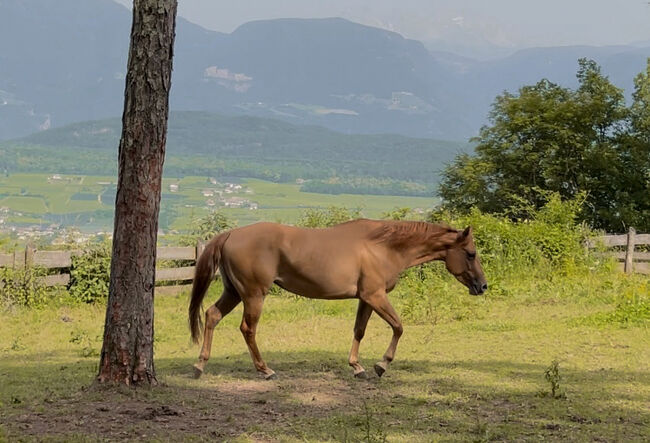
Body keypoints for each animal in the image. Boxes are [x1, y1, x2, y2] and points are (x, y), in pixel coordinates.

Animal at [187, 220, 486, 380]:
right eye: (470, 254)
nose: (482, 286)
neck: (383, 247)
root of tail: (230, 234)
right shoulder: (376, 296)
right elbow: (399, 326)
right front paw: (381, 365)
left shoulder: (366, 298)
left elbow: (359, 330)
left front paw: (357, 367)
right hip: (253, 295)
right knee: (248, 329)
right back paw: (265, 370)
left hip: (234, 293)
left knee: (211, 315)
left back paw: (200, 365)